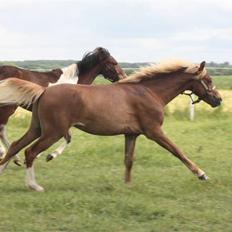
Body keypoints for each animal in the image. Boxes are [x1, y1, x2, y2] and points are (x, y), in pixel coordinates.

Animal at [0, 59, 222, 191]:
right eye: (209, 79)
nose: (218, 100)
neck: (149, 92)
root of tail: (44, 90)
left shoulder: (131, 134)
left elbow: (128, 160)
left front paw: (127, 185)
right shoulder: (154, 131)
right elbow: (177, 151)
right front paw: (202, 174)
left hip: (38, 128)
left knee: (16, 146)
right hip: (53, 132)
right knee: (30, 152)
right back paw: (34, 185)